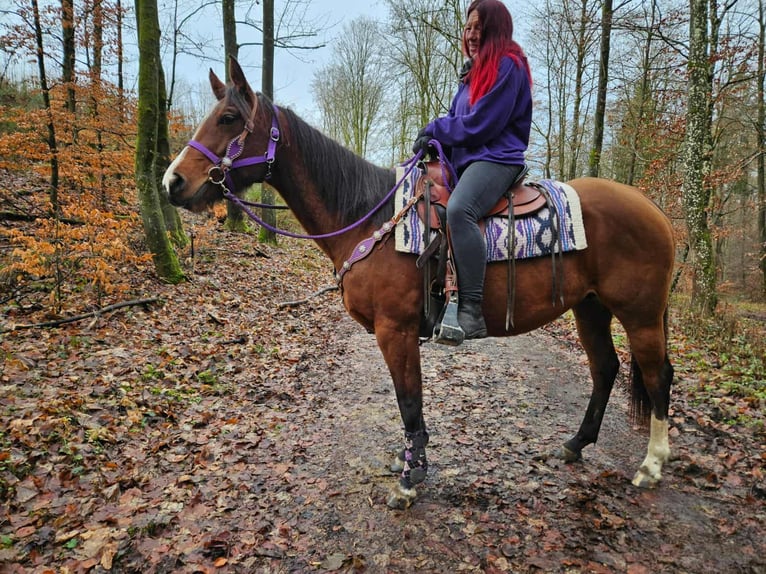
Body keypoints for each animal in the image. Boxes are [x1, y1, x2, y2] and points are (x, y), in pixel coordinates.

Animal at [163, 58, 676, 509]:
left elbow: (409, 401)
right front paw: (407, 460)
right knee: (605, 369)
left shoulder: (397, 330)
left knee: (658, 376)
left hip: (640, 315)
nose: (173, 182)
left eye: (229, 118)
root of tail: (655, 211)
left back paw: (652, 466)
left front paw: (411, 479)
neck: (367, 218)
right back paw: (575, 443)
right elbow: (407, 402)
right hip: (590, 307)